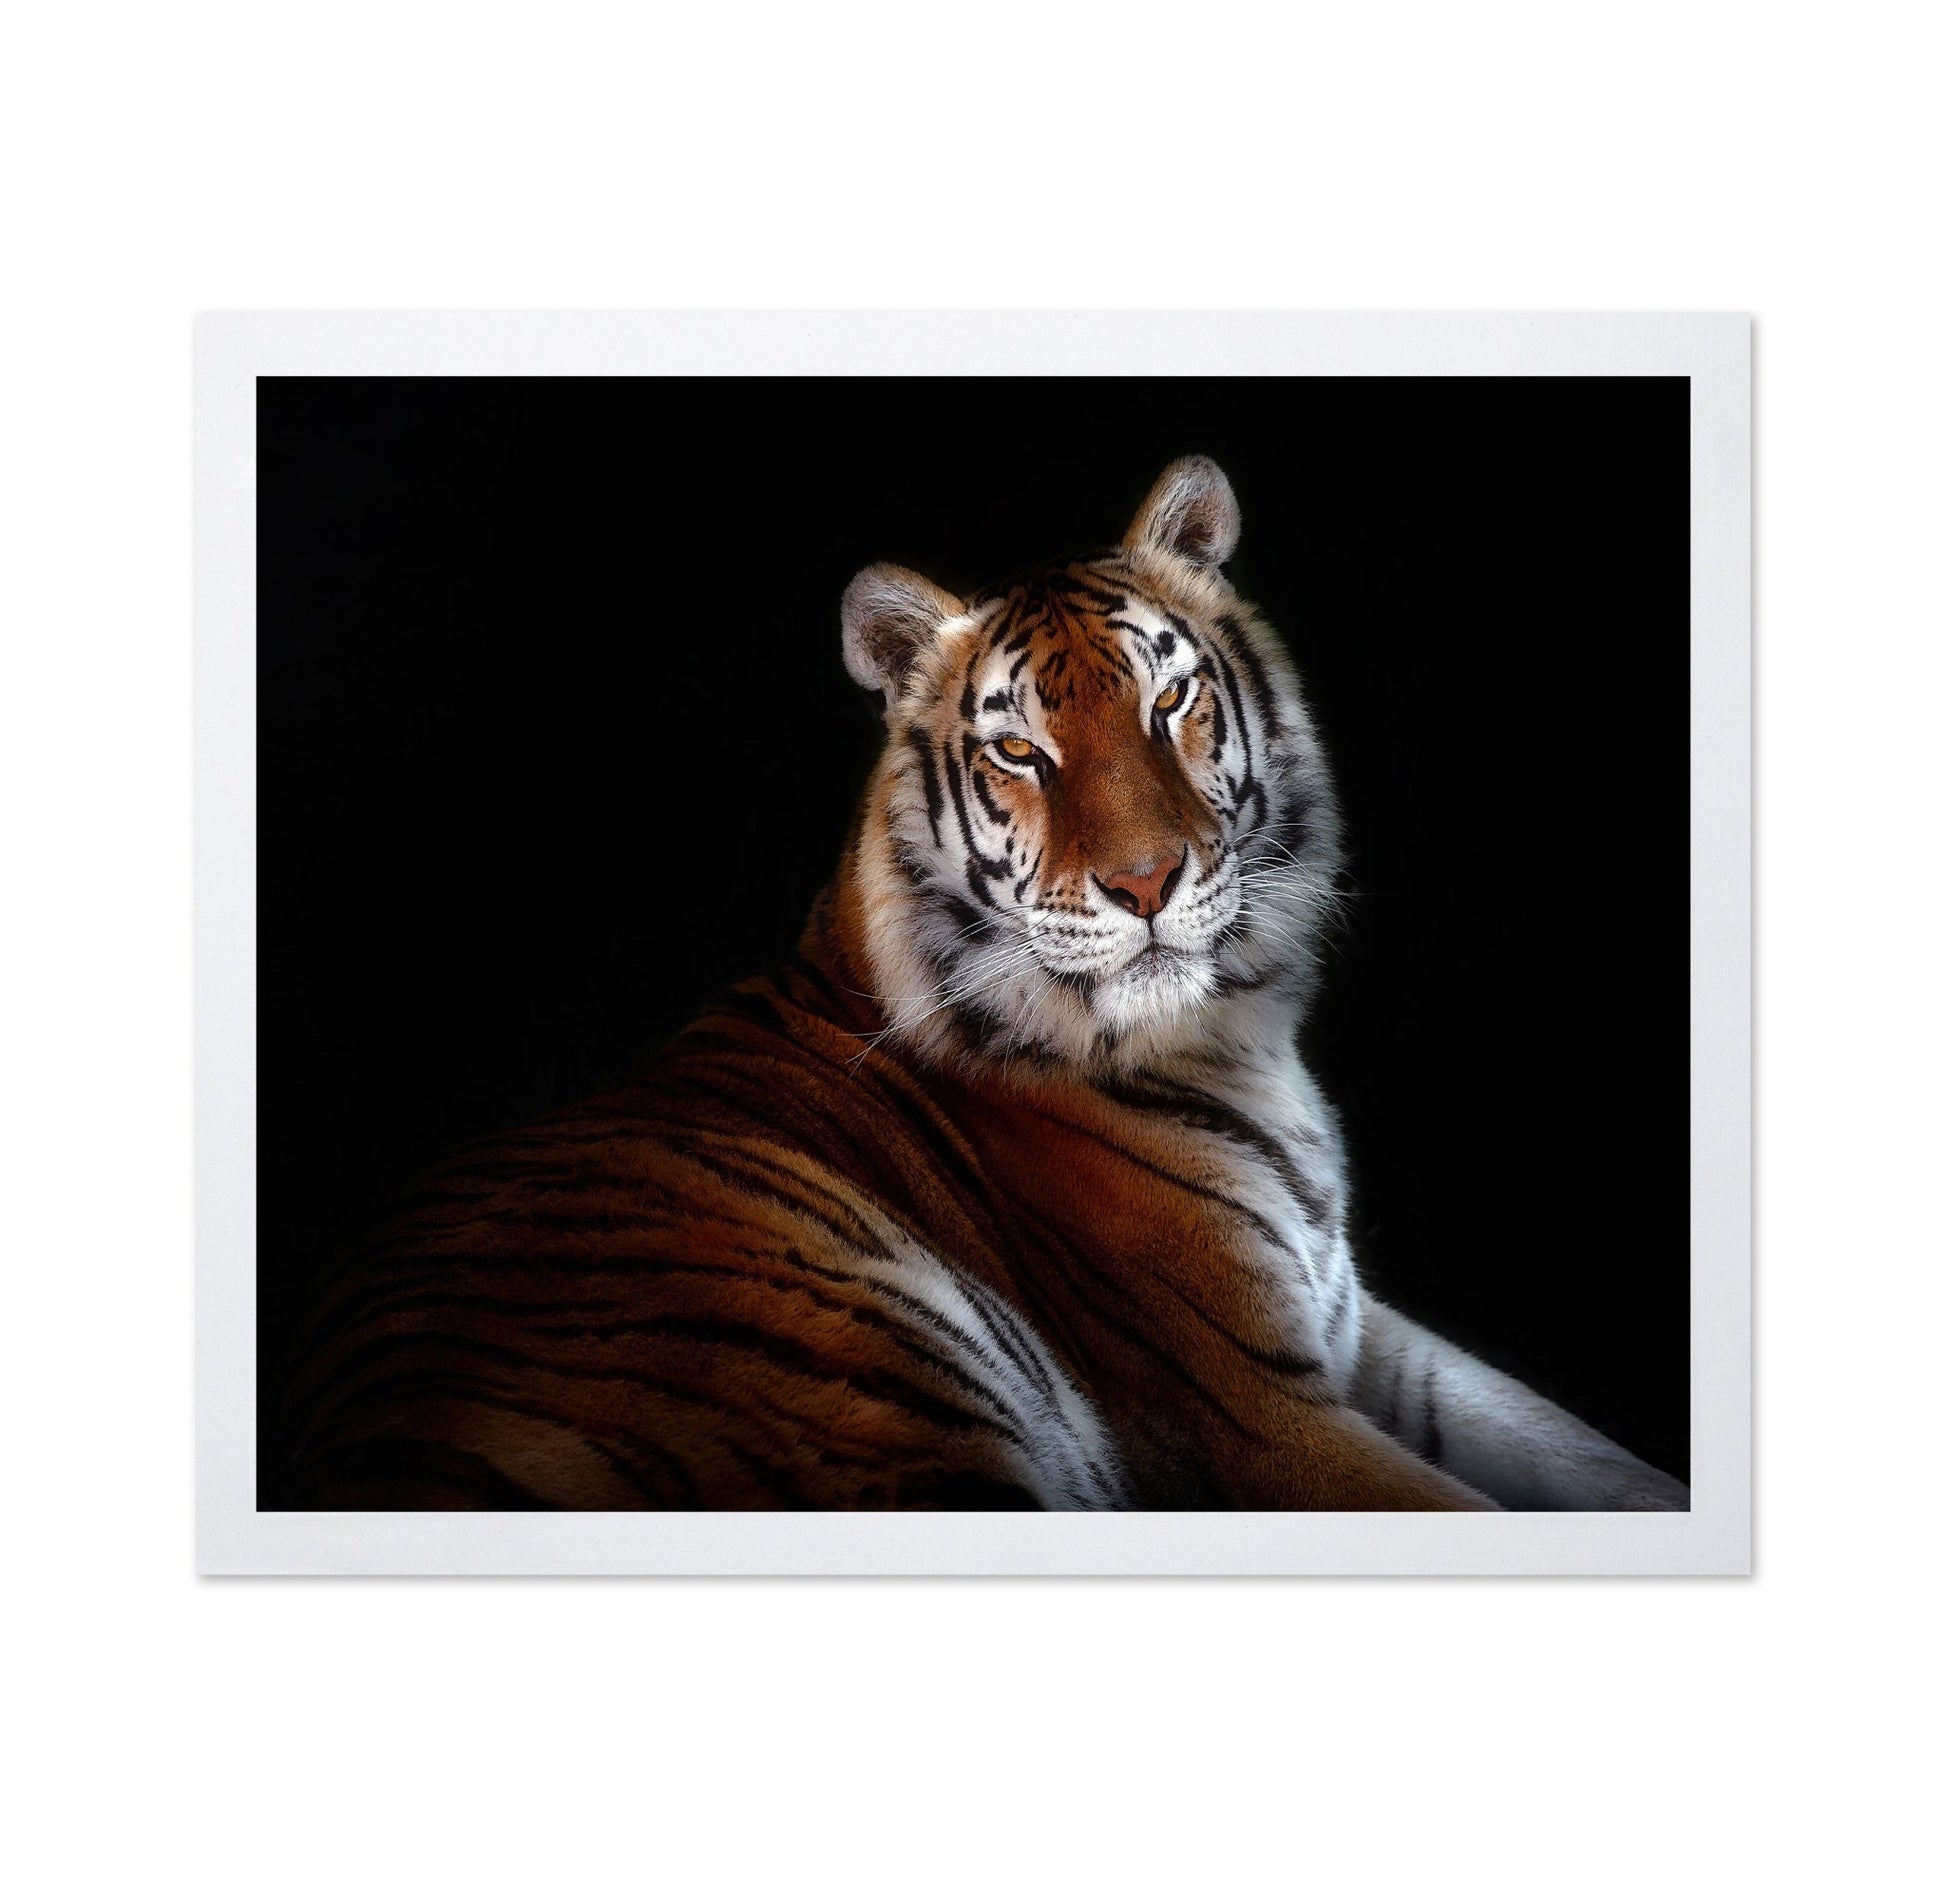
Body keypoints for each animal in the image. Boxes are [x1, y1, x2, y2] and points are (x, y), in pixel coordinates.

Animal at [274, 457, 1689, 1513]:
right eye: (1020, 750)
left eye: (1170, 701)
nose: (1145, 881)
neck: (1234, 1032)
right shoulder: (1255, 1416)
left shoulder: (1356, 1328)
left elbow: (1580, 1452)